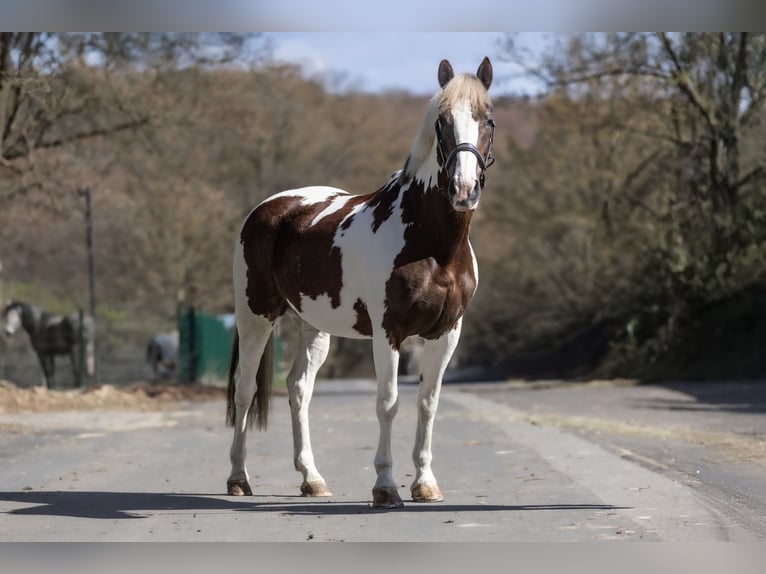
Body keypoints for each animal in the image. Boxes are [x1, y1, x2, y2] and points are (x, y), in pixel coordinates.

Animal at [226, 58, 496, 508]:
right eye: (441, 122)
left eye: (488, 119)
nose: (463, 189)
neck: (432, 246)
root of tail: (268, 208)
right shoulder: (388, 332)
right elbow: (388, 403)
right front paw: (385, 486)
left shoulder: (446, 333)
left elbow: (428, 404)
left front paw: (425, 483)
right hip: (255, 316)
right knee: (244, 390)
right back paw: (238, 477)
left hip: (313, 326)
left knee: (299, 389)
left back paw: (312, 479)